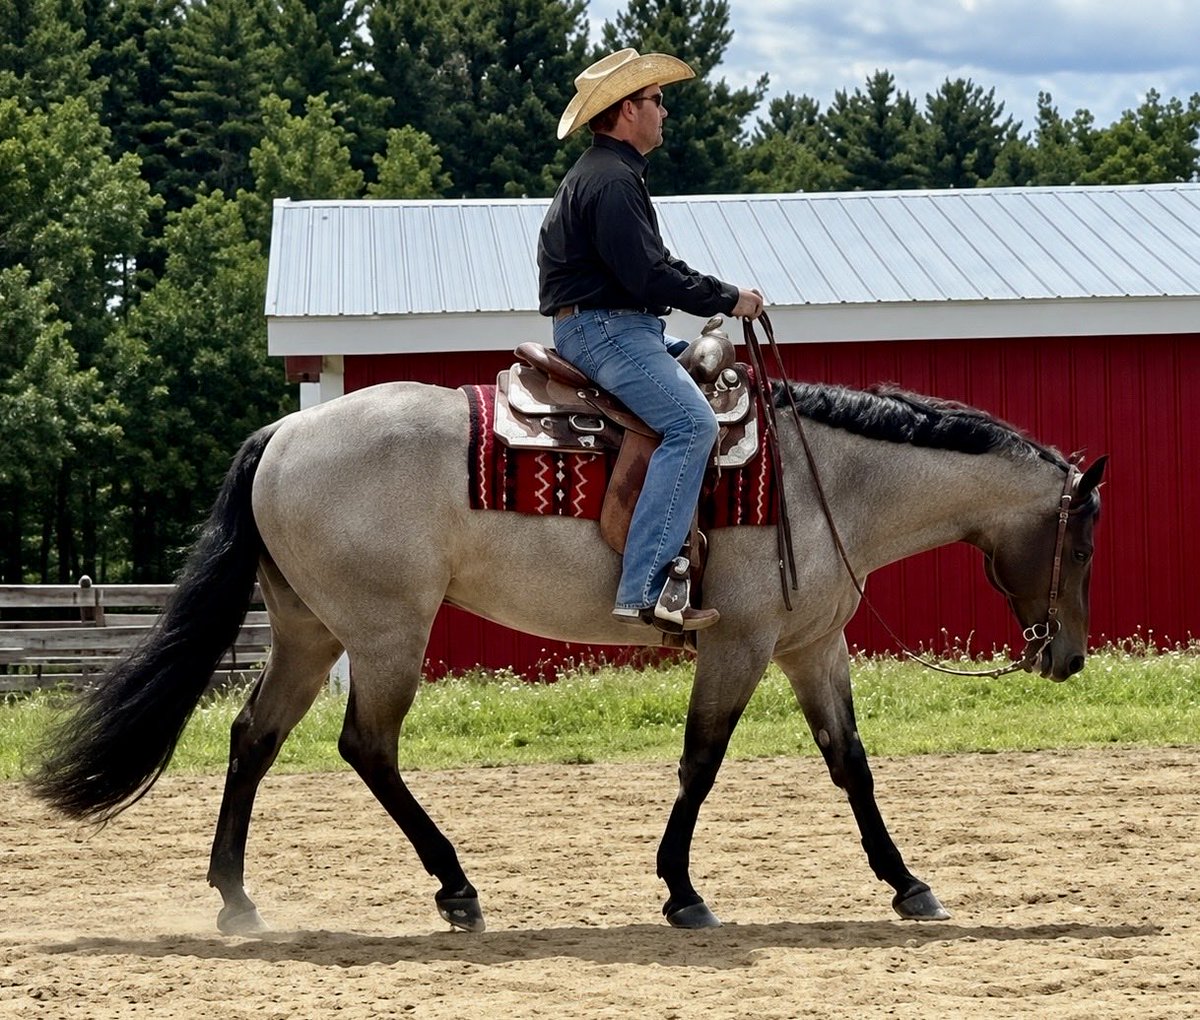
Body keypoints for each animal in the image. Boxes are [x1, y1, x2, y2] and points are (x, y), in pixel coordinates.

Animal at [29, 376, 1106, 934]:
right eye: (1086, 536)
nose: (1067, 658)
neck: (824, 480)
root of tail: (287, 429)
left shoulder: (810, 647)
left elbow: (852, 766)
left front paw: (908, 883)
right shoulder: (741, 643)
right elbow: (701, 762)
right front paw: (681, 891)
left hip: (308, 632)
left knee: (254, 741)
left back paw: (237, 899)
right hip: (383, 636)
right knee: (366, 748)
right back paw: (456, 889)